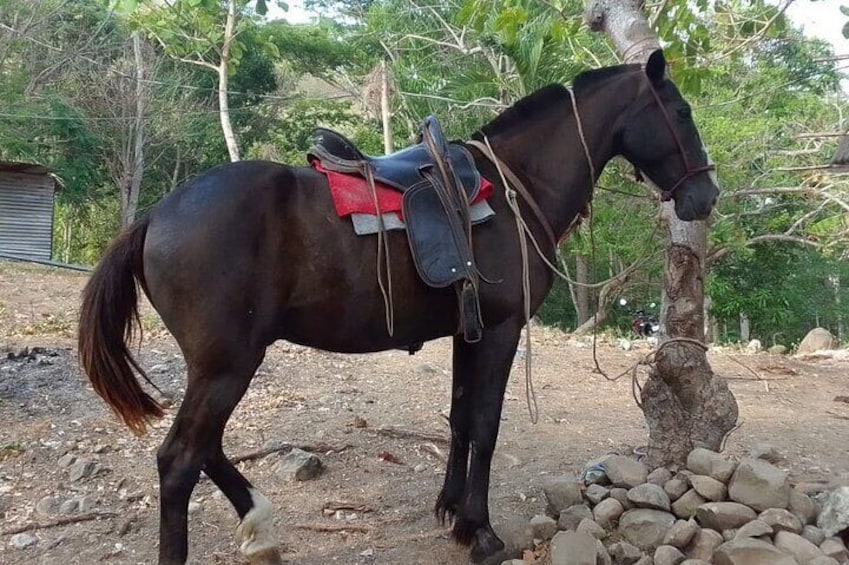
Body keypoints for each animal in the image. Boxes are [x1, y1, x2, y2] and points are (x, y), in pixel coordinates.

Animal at [79, 50, 716, 560]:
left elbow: (460, 418)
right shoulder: (502, 329)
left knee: (203, 446)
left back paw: (259, 524)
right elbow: (486, 425)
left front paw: (452, 512)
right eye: (682, 113)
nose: (705, 195)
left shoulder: (467, 331)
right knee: (179, 460)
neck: (516, 185)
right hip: (228, 365)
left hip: (220, 365)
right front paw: (481, 532)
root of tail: (155, 216)